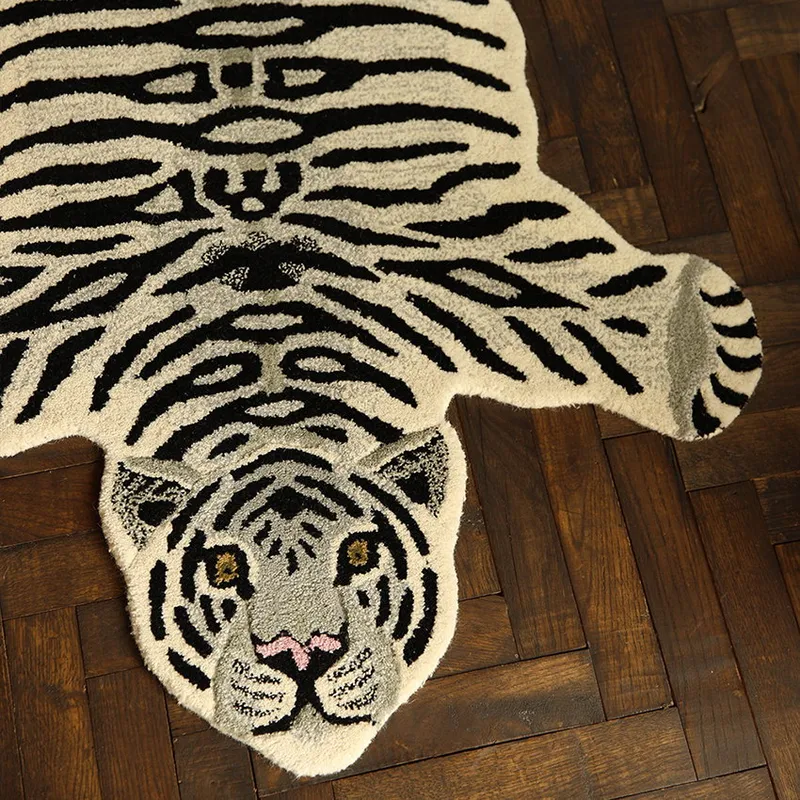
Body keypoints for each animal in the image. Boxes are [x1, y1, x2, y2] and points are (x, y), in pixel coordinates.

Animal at [0, 0, 761, 776]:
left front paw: (708, 347)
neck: (268, 366)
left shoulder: (453, 246)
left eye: (359, 557)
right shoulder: (58, 300)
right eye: (224, 566)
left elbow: (597, 298)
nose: (301, 653)